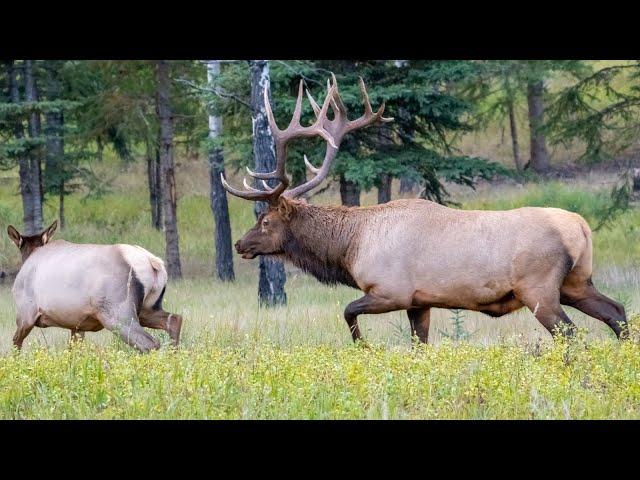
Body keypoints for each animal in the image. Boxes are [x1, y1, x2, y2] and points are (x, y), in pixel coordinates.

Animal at [6, 221, 182, 352]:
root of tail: (153, 263)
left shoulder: (26, 314)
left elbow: (15, 344)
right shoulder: (77, 324)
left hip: (117, 313)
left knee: (149, 343)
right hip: (147, 309)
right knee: (175, 320)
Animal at [222, 74, 628, 344]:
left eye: (265, 219)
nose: (240, 244)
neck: (350, 247)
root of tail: (581, 227)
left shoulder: (392, 290)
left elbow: (348, 311)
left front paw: (363, 347)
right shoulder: (420, 302)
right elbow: (420, 345)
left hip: (539, 288)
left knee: (572, 334)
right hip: (576, 282)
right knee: (618, 313)